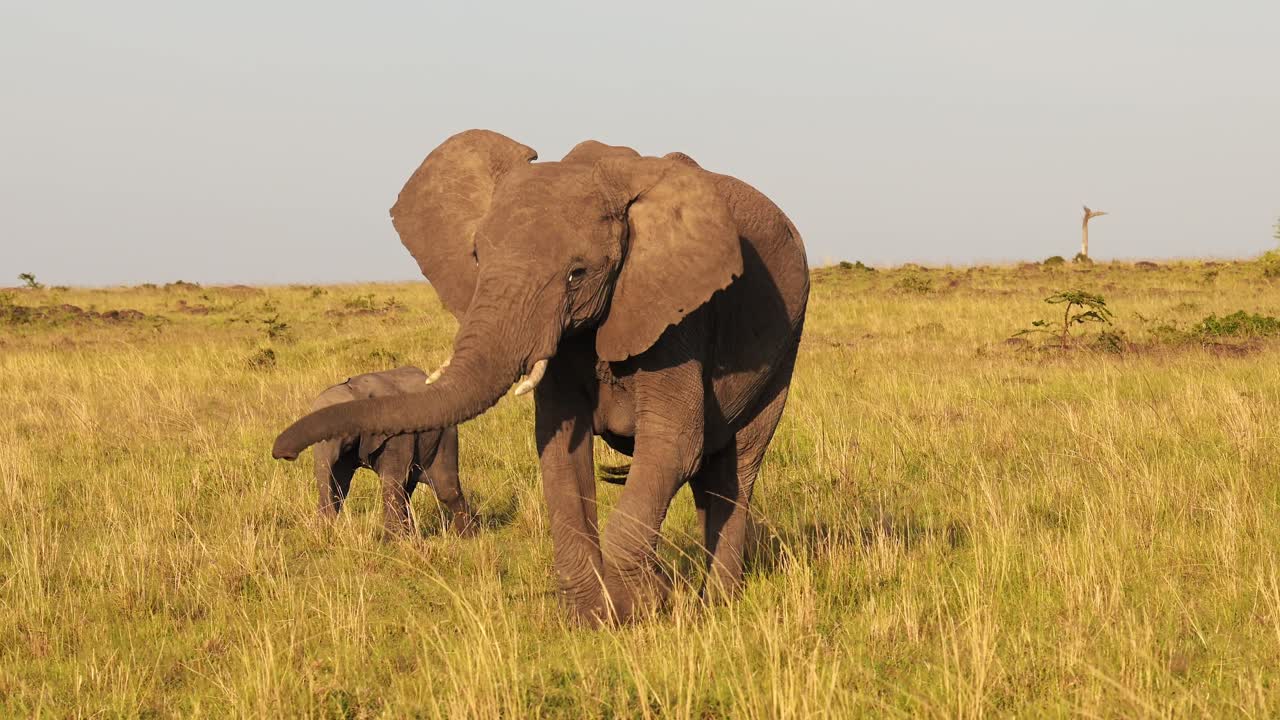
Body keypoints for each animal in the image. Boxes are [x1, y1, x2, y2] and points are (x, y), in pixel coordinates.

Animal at [311, 366, 476, 537]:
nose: (329, 531)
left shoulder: (396, 433)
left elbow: (390, 481)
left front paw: (391, 541)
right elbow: (340, 481)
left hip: (445, 433)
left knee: (445, 489)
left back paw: (469, 537)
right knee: (409, 490)